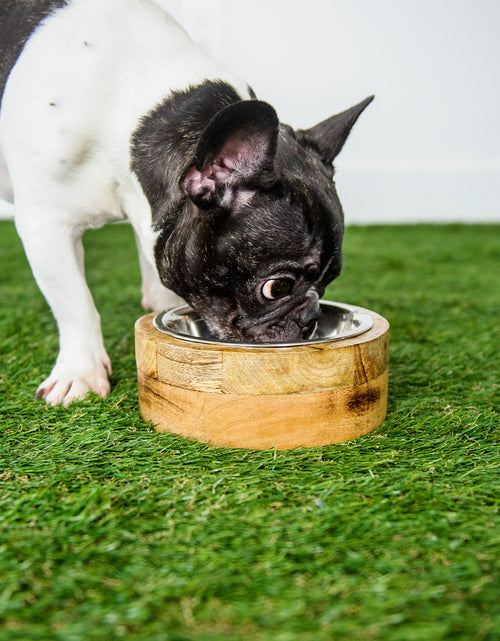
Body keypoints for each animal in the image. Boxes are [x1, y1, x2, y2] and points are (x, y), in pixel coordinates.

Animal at [0, 0, 374, 404]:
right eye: (278, 288)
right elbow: (75, 303)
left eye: (328, 283)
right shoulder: (46, 224)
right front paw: (80, 373)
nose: (310, 320)